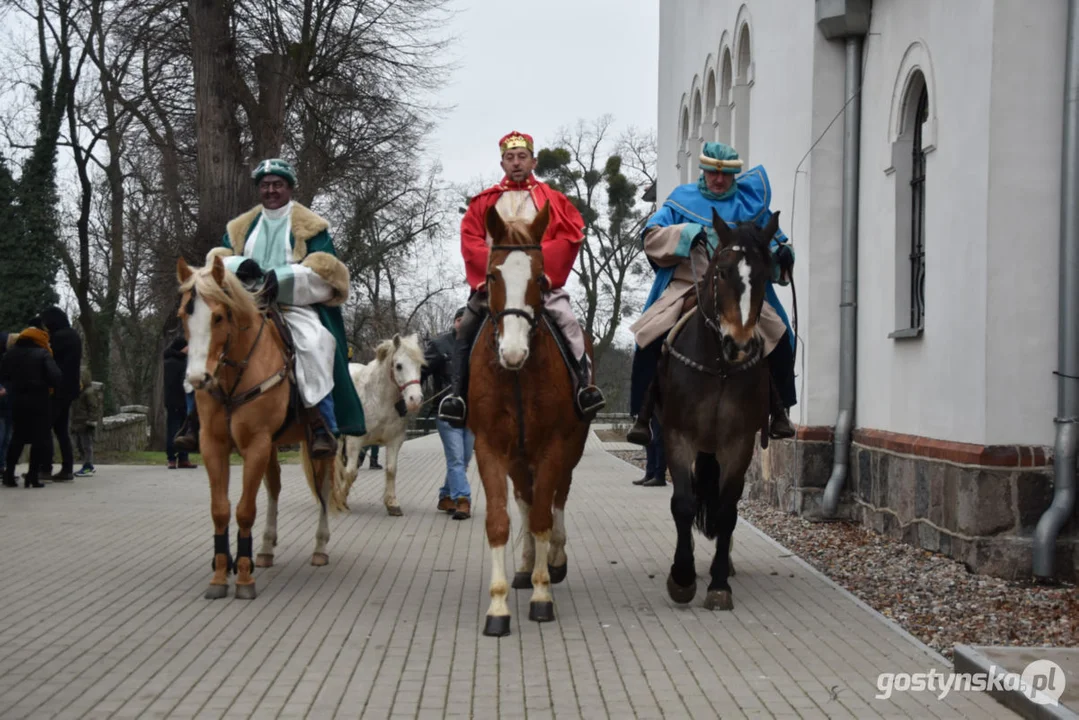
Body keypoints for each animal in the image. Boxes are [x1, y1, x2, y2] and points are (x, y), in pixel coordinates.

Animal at [176, 254, 343, 604]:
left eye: (219, 316)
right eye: (184, 314)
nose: (198, 379)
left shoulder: (256, 443)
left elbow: (244, 510)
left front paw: (243, 578)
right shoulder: (214, 445)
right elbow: (221, 510)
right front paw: (220, 574)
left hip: (315, 445)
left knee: (322, 488)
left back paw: (320, 547)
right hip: (273, 446)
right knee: (274, 487)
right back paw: (265, 549)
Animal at [336, 334, 425, 515]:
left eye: (420, 365)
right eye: (398, 366)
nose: (415, 400)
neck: (378, 399)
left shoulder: (394, 441)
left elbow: (391, 470)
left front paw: (392, 503)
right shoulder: (354, 442)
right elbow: (350, 472)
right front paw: (341, 500)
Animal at [470, 201, 595, 634]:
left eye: (539, 278)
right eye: (492, 275)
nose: (512, 351)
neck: (517, 375)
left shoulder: (554, 447)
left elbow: (543, 516)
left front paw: (542, 595)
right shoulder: (490, 447)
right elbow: (499, 521)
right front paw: (497, 606)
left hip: (568, 451)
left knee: (556, 499)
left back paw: (553, 561)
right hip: (517, 458)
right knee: (525, 499)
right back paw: (525, 567)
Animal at [630, 208, 776, 613]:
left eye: (764, 274)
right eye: (721, 272)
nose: (738, 344)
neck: (719, 367)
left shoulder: (737, 444)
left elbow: (726, 511)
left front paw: (719, 583)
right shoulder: (678, 437)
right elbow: (683, 503)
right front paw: (682, 577)